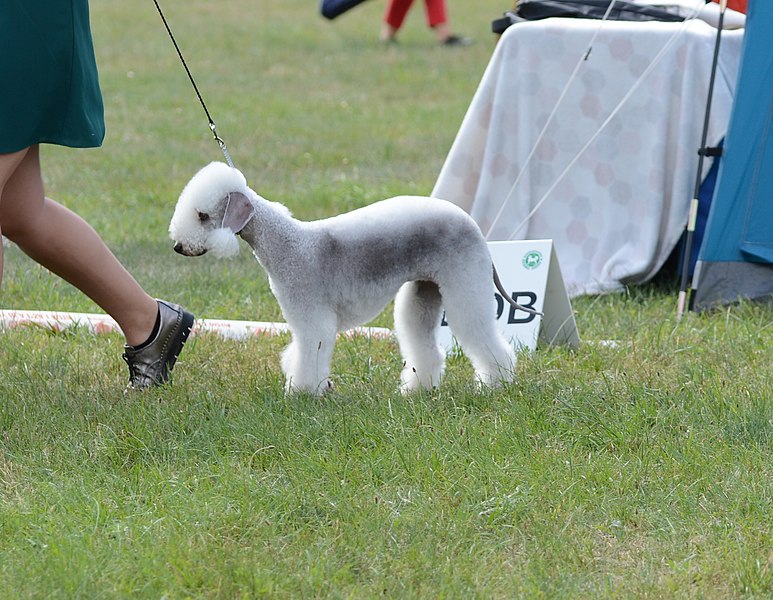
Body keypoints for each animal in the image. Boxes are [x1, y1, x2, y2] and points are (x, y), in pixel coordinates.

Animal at [168, 162, 520, 396]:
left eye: (202, 215)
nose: (179, 247)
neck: (285, 243)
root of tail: (472, 224)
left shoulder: (312, 318)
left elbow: (310, 354)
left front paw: (302, 393)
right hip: (424, 291)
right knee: (422, 342)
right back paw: (417, 389)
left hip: (465, 282)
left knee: (481, 334)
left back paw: (496, 384)